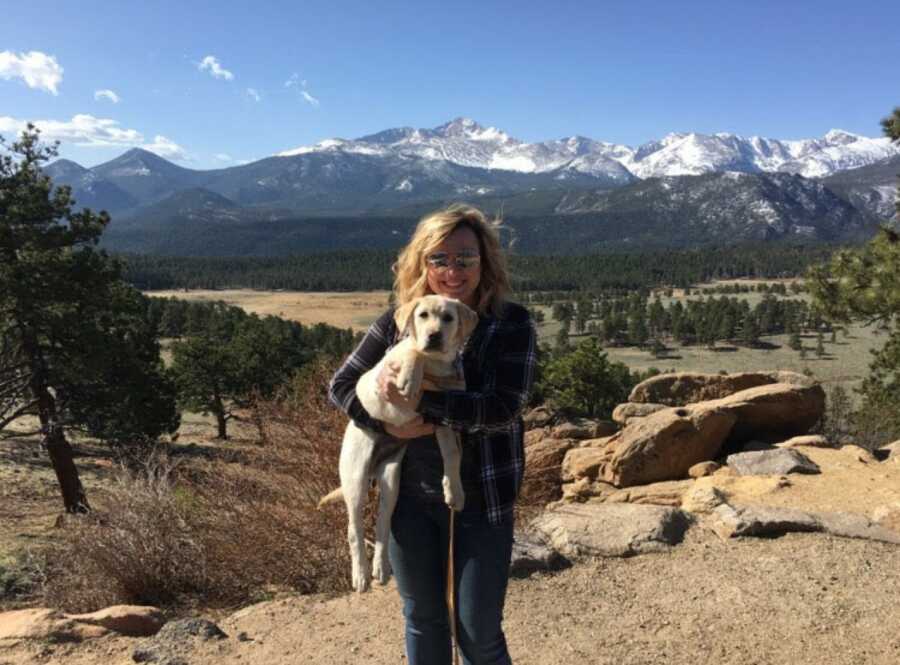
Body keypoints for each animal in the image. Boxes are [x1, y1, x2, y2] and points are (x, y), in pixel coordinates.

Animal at [322, 296, 478, 592]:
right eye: (422, 315)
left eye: (448, 318)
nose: (434, 336)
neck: (435, 365)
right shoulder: (375, 380)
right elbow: (411, 351)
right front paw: (410, 374)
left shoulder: (444, 417)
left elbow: (453, 455)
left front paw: (455, 491)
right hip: (356, 480)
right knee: (354, 530)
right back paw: (360, 574)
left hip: (390, 479)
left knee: (383, 525)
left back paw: (381, 568)